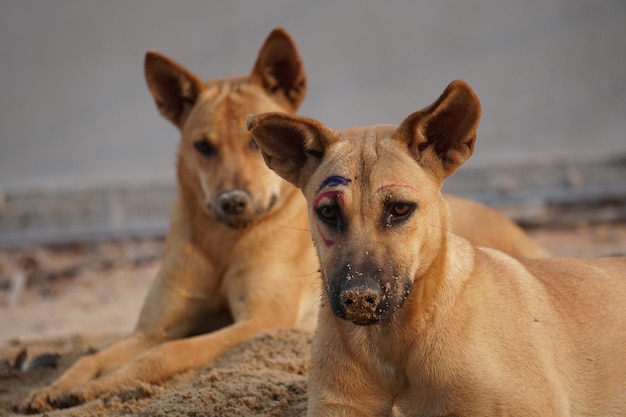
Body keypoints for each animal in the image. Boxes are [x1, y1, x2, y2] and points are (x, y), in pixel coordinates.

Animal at [22, 27, 320, 412]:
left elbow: (169, 352)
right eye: (203, 146)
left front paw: (98, 388)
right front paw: (60, 385)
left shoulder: (261, 321)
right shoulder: (153, 329)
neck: (223, 243)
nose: (232, 201)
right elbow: (93, 358)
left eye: (256, 143)